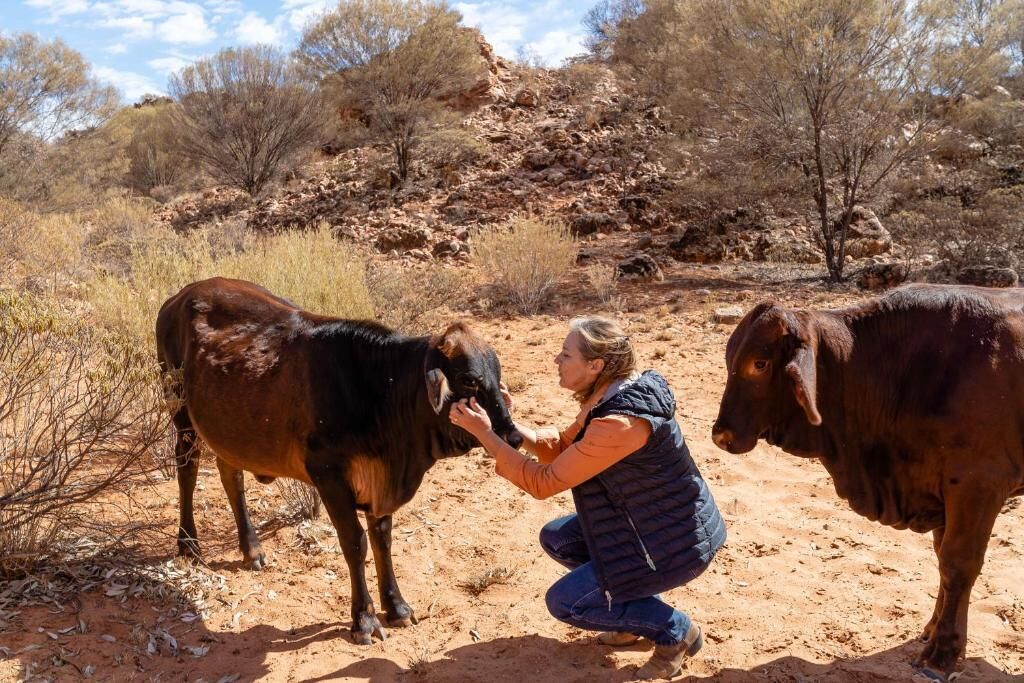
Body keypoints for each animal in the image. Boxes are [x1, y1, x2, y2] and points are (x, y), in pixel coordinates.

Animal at [156, 276, 524, 647]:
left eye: (497, 376)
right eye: (469, 380)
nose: (512, 436)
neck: (383, 390)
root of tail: (180, 296)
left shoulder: (379, 483)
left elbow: (382, 539)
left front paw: (397, 607)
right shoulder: (329, 475)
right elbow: (355, 542)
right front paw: (364, 618)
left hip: (229, 431)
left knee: (231, 475)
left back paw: (253, 549)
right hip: (181, 413)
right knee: (187, 470)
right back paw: (189, 545)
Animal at [712, 282, 1024, 679]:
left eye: (760, 363)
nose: (720, 435)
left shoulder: (978, 485)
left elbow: (957, 565)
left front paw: (942, 655)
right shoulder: (942, 490)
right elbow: (942, 559)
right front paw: (931, 630)